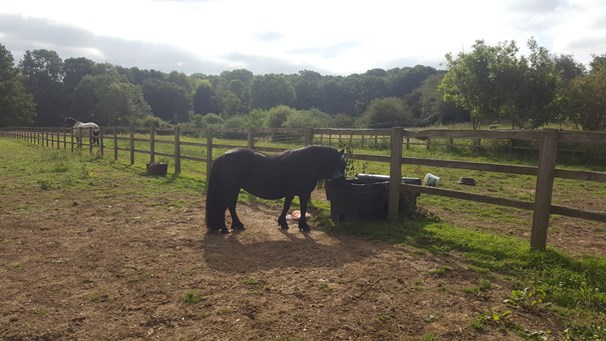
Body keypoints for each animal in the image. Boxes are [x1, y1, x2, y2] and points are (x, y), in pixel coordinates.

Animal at [205, 143, 344, 234]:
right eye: (340, 163)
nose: (341, 181)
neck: (305, 164)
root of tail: (223, 156)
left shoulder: (291, 193)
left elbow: (286, 206)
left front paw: (283, 223)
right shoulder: (303, 193)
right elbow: (303, 209)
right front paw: (304, 226)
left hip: (234, 189)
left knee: (230, 206)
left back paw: (236, 226)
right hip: (232, 189)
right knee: (226, 206)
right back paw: (225, 228)